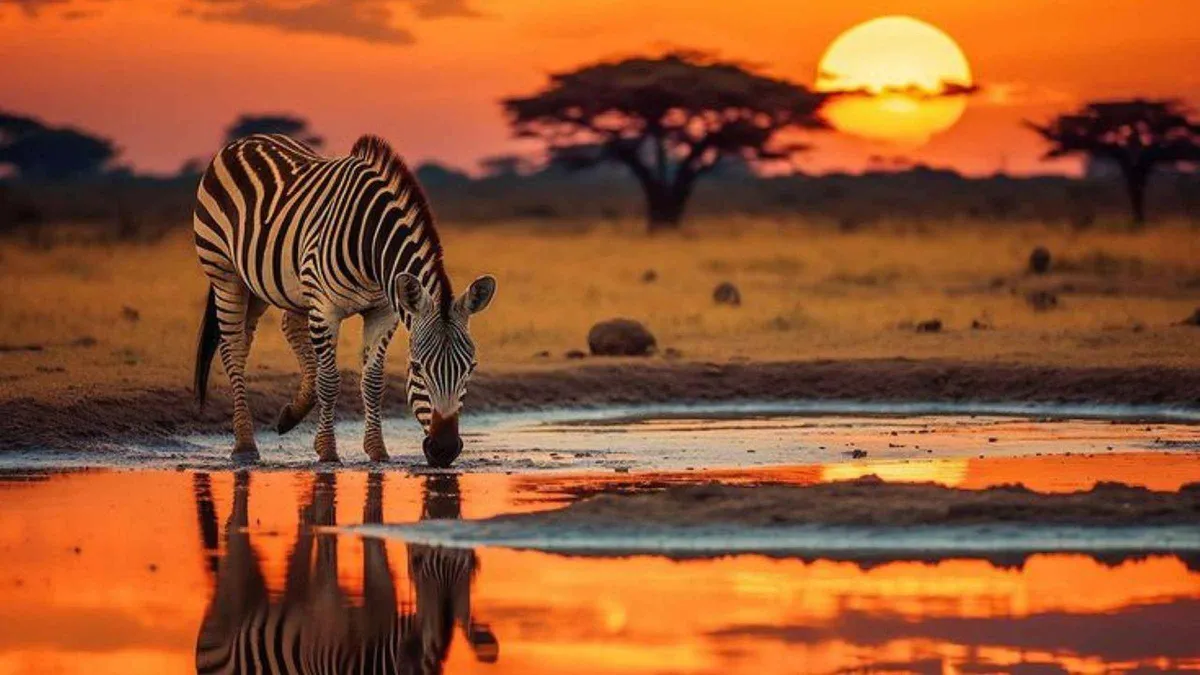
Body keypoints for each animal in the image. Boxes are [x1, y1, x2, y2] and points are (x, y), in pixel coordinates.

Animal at [192, 133, 496, 466]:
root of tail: (246, 139)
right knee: (234, 347)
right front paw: (327, 450)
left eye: (471, 367)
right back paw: (245, 445)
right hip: (226, 273)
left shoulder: (382, 311)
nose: (444, 450)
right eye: (417, 368)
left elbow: (373, 382)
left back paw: (292, 414)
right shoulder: (326, 308)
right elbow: (329, 381)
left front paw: (377, 450)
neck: (371, 246)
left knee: (278, 328)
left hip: (267, 283)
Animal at [193, 471, 499, 674]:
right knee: (234, 532)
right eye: (416, 561)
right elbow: (330, 557)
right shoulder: (325, 616)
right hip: (233, 596)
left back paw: (306, 517)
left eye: (475, 565)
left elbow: (373, 540)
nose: (443, 518)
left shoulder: (382, 600)